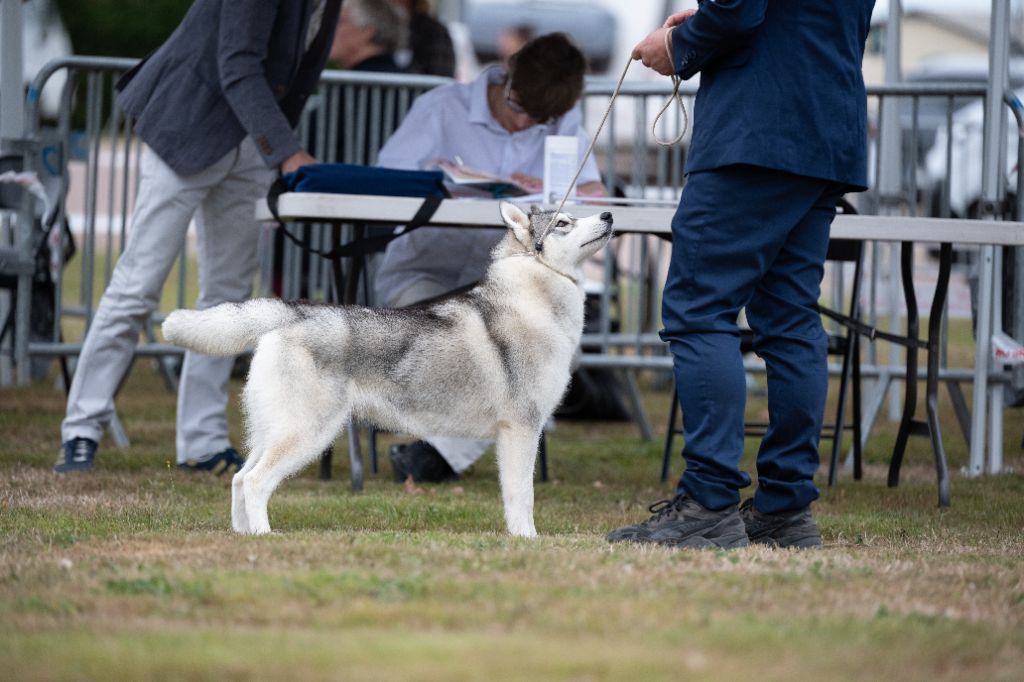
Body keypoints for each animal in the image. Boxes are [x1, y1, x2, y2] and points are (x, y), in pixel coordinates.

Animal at [162, 201, 610, 536]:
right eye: (563, 222)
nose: (608, 215)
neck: (533, 299)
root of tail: (293, 313)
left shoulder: (514, 432)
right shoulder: (521, 428)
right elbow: (523, 495)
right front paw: (526, 541)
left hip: (273, 430)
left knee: (240, 478)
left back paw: (244, 536)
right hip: (307, 433)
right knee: (255, 482)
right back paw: (264, 536)